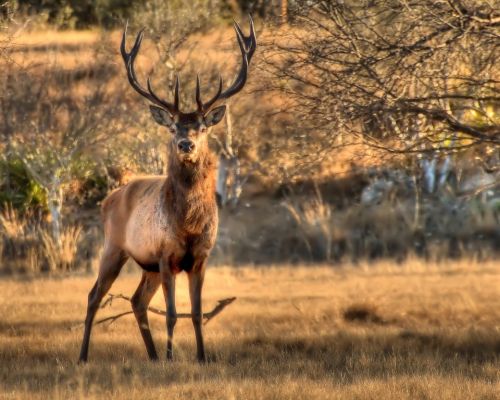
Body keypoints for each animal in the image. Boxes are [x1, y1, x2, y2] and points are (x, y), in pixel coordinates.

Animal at [79, 17, 258, 364]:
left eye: (202, 127)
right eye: (174, 126)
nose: (185, 144)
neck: (188, 225)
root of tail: (107, 199)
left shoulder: (200, 257)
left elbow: (198, 312)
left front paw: (202, 358)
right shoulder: (166, 255)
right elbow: (174, 314)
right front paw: (173, 357)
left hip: (145, 264)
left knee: (137, 300)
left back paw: (151, 356)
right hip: (114, 246)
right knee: (94, 295)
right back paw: (83, 357)